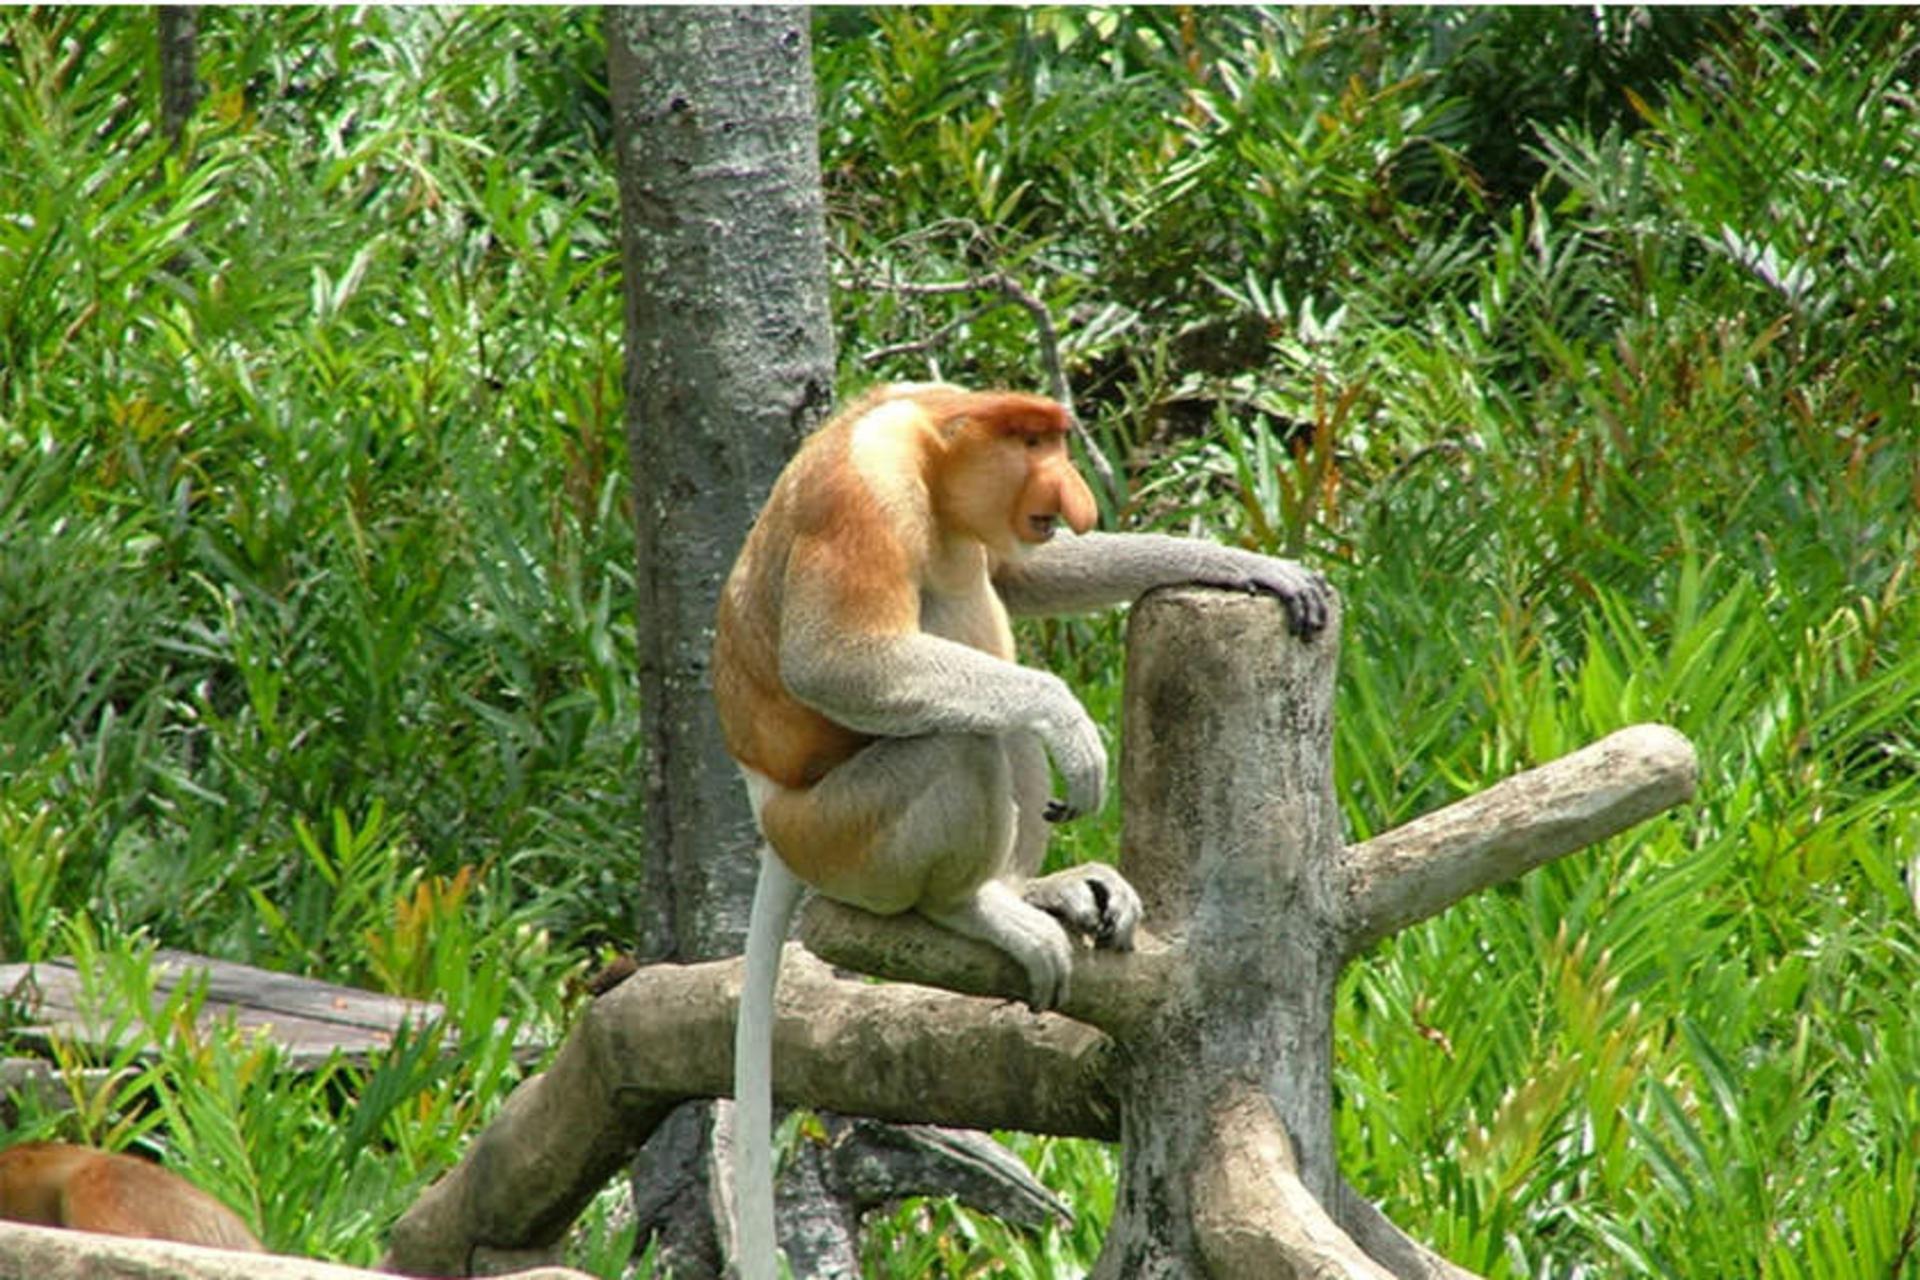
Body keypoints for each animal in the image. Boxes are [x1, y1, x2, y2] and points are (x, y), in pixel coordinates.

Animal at [713, 382, 1329, 1279]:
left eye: (1056, 442)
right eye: (1033, 444)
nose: (1072, 493)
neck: (928, 445)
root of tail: (770, 815)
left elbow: (1019, 572)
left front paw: (1252, 566)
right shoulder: (861, 495)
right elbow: (838, 661)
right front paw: (1066, 716)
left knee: (981, 626)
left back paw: (1036, 890)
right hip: (840, 834)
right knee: (960, 735)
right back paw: (974, 906)